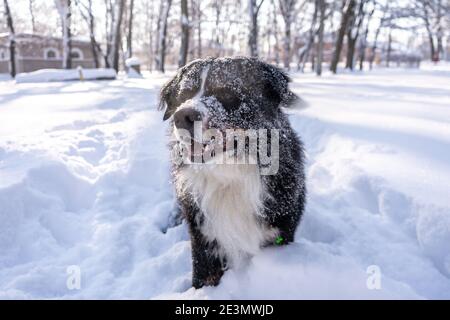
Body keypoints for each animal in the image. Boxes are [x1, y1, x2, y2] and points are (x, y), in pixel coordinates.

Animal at [158, 56, 306, 288]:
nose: (182, 116)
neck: (230, 177)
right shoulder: (204, 237)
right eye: (184, 95)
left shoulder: (280, 231)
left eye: (226, 93)